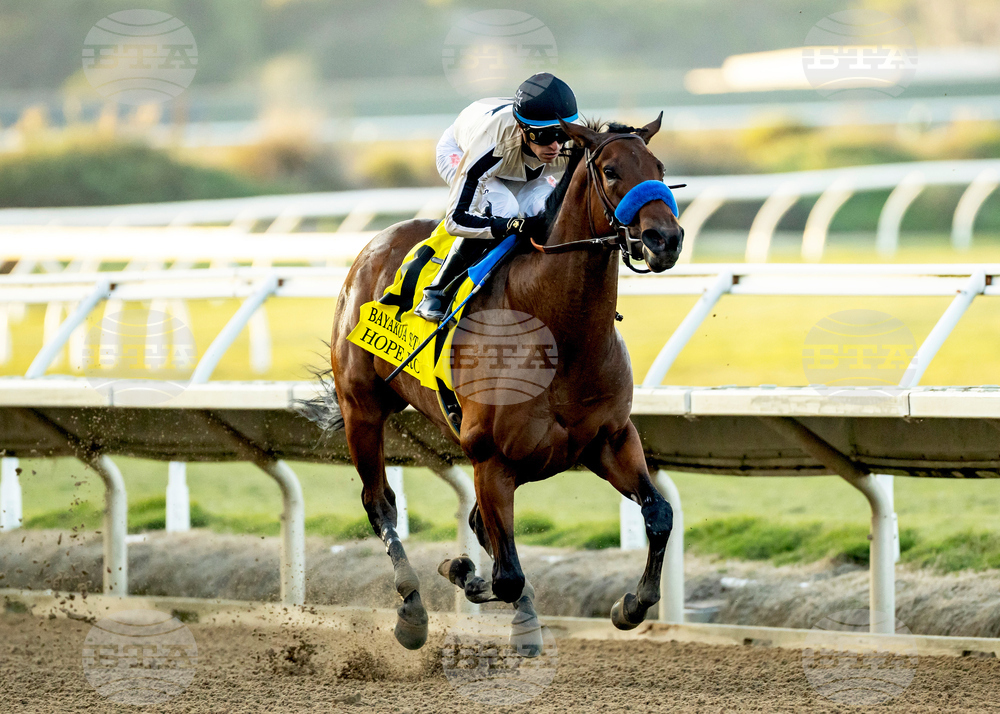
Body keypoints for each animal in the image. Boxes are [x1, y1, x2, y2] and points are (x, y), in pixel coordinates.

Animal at [324, 114, 683, 653]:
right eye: (611, 171)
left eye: (659, 167)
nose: (666, 239)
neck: (560, 332)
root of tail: (373, 246)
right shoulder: (491, 458)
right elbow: (507, 575)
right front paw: (470, 579)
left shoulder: (609, 439)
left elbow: (659, 515)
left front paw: (631, 605)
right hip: (361, 408)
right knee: (380, 503)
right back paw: (413, 609)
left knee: (473, 525)